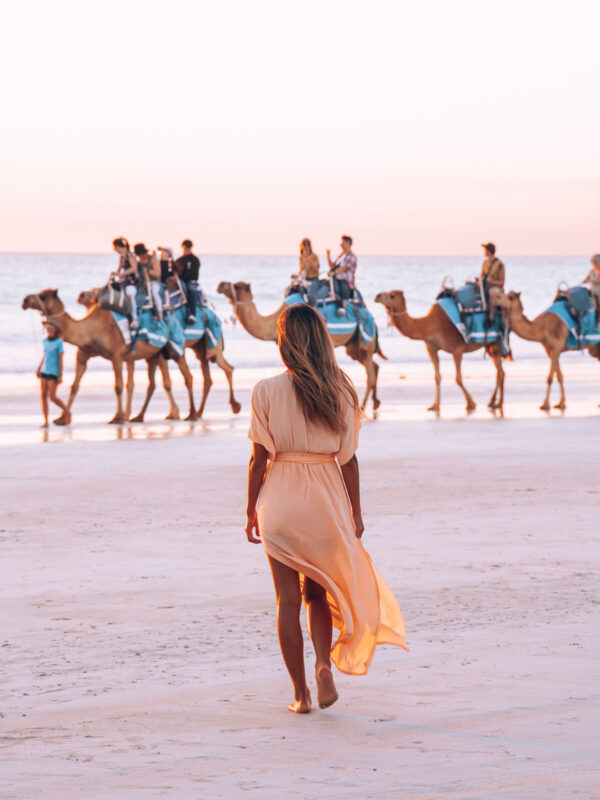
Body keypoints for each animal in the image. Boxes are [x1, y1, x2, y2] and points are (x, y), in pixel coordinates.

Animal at [22, 290, 196, 424]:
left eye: (43, 295)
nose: (25, 300)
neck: (90, 329)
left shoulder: (116, 356)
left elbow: (118, 386)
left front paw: (117, 418)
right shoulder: (83, 354)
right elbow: (74, 386)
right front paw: (62, 419)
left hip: (173, 349)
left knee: (186, 376)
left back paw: (191, 414)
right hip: (155, 355)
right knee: (153, 383)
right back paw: (139, 417)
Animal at [217, 282, 384, 406]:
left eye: (236, 286)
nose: (220, 285)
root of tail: (372, 318)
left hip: (364, 341)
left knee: (370, 374)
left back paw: (363, 407)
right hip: (354, 346)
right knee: (374, 366)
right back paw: (375, 403)